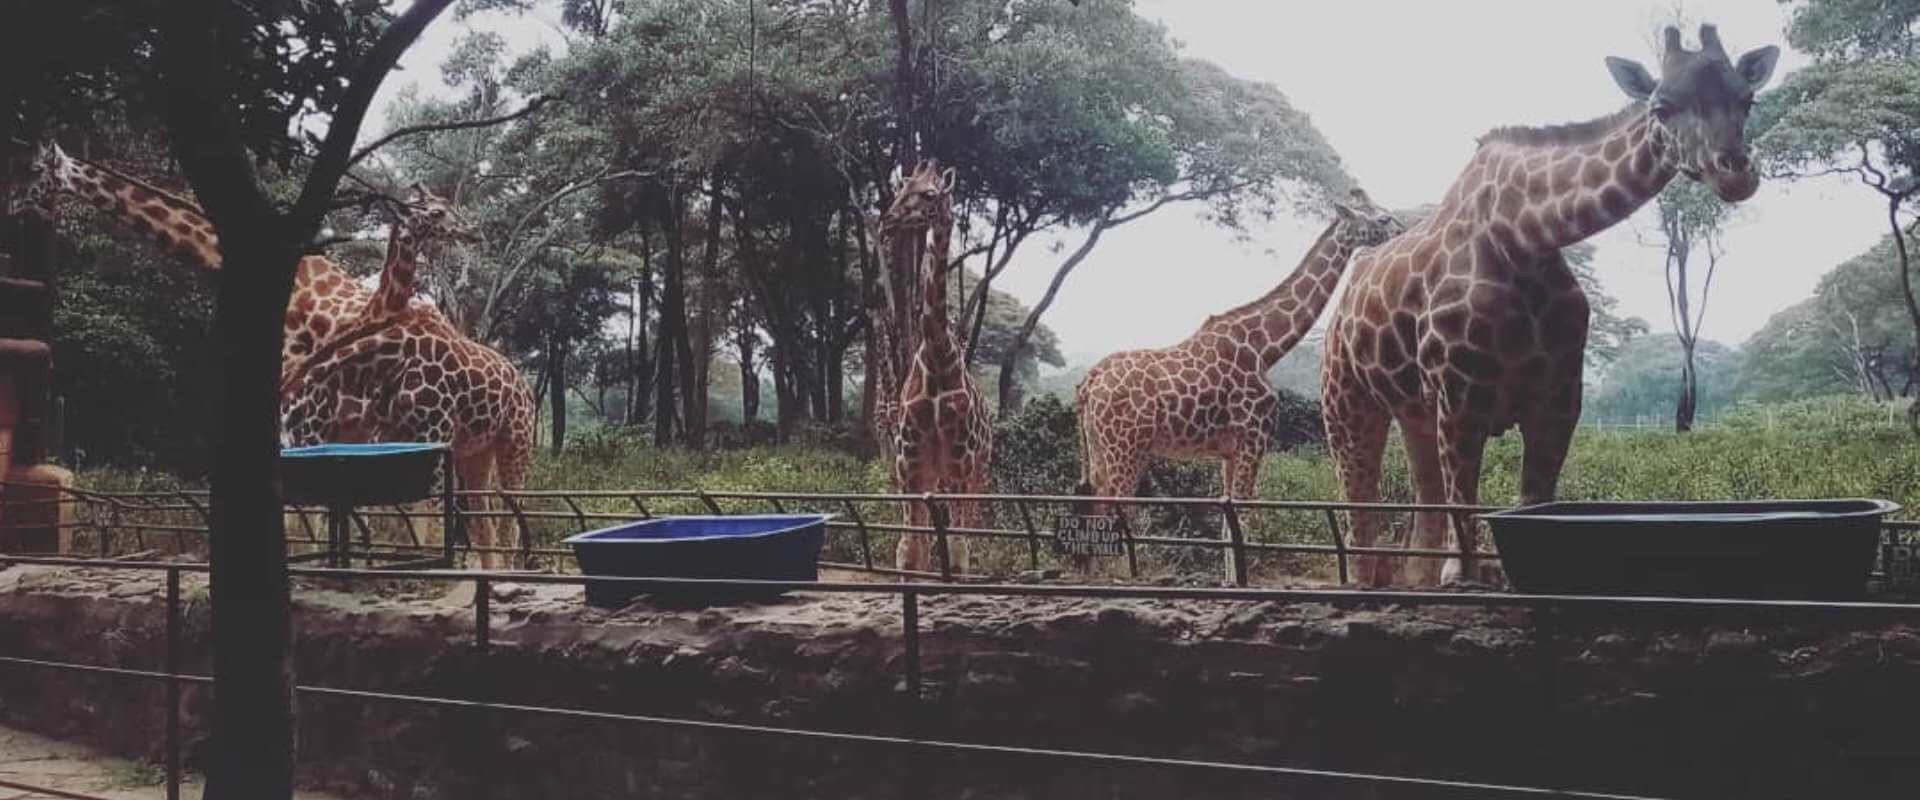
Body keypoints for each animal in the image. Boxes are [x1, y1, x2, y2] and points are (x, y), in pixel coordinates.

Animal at [885, 159, 992, 576]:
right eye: (900, 188)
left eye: (930, 194)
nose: (888, 219)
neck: (936, 353)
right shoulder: (909, 464)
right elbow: (909, 550)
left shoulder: (961, 462)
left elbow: (960, 553)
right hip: (935, 473)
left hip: (977, 471)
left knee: (967, 536)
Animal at [1074, 188, 1403, 582]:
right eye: (1382, 218)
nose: (1403, 229)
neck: (1266, 347)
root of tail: (1090, 382)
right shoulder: (1253, 437)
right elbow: (1242, 514)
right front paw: (1240, 581)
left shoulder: (1228, 450)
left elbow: (1227, 521)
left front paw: (1231, 580)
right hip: (1126, 448)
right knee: (1116, 508)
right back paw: (1122, 575)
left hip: (1097, 450)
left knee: (1094, 503)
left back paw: (1095, 574)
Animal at [1321, 25, 1778, 587]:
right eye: (1662, 106)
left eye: (1747, 98)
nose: (1735, 172)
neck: (1525, 236)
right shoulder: (1460, 396)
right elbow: (1464, 508)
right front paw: (1462, 577)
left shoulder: (1558, 397)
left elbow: (1532, 501)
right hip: (1346, 401)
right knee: (1358, 504)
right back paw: (1366, 582)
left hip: (1413, 412)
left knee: (1421, 501)